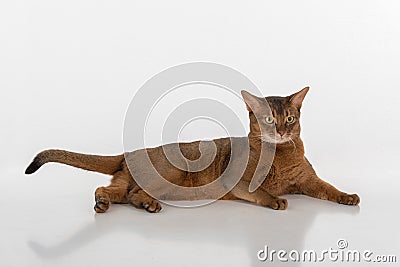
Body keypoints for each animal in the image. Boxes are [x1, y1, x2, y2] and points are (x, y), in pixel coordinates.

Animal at [26, 87, 360, 214]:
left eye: (289, 118)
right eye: (268, 119)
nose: (281, 131)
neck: (279, 155)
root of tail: (130, 152)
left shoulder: (308, 181)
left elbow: (329, 188)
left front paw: (348, 197)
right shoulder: (240, 183)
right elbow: (263, 192)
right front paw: (276, 201)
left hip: (128, 181)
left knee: (113, 190)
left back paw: (104, 204)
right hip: (172, 172)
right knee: (134, 193)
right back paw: (147, 205)